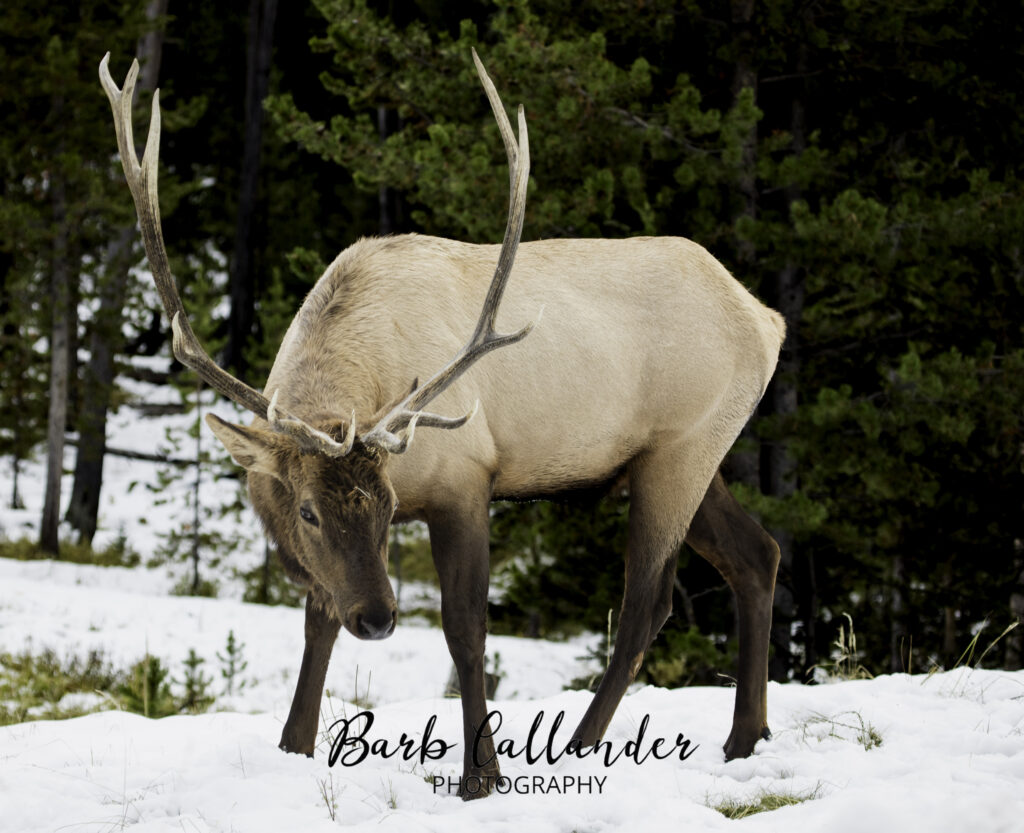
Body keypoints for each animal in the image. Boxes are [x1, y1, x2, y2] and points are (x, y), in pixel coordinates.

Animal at [99, 49, 786, 799]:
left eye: (388, 503)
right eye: (307, 511)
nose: (377, 619)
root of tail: (767, 319)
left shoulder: (465, 481)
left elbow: (464, 626)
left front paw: (480, 776)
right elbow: (318, 619)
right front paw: (294, 745)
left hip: (679, 452)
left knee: (645, 602)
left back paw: (579, 748)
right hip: (687, 454)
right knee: (757, 553)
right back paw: (745, 737)